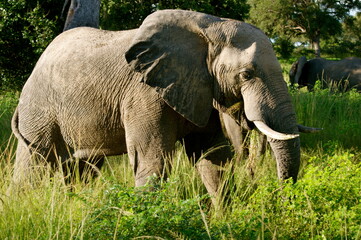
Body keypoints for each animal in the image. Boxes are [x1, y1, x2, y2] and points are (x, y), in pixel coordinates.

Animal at [12, 9, 314, 197]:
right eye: (246, 74)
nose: (279, 196)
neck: (210, 27)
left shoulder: (200, 89)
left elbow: (213, 157)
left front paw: (223, 223)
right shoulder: (143, 94)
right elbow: (153, 162)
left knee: (83, 168)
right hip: (38, 111)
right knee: (33, 165)